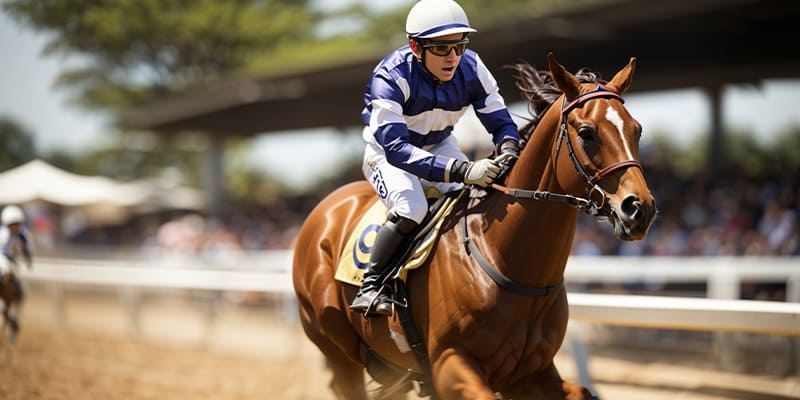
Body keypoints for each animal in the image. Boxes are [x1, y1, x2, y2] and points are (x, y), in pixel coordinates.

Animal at [292, 53, 656, 399]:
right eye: (586, 133)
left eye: (636, 129)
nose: (640, 209)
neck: (504, 259)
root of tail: (325, 208)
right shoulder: (449, 364)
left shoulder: (530, 374)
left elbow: (582, 392)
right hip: (337, 348)